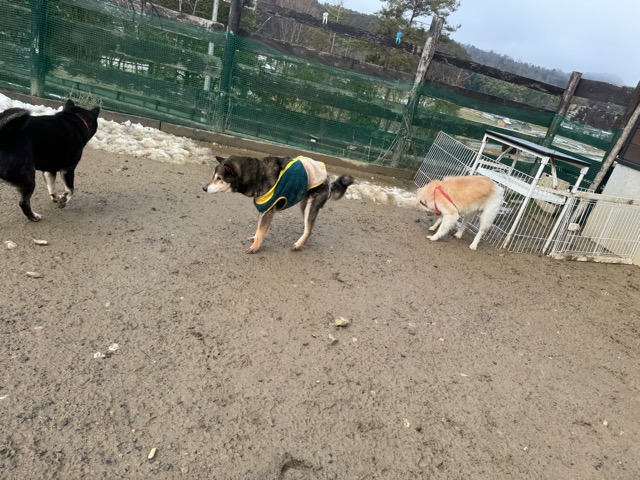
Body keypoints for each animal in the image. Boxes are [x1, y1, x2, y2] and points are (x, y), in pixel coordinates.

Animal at [203, 154, 354, 253]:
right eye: (213, 176)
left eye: (219, 178)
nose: (204, 188)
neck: (257, 174)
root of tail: (328, 179)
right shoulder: (263, 209)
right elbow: (259, 228)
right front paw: (255, 238)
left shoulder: (269, 211)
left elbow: (261, 230)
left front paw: (255, 247)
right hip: (303, 204)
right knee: (309, 228)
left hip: (311, 205)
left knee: (309, 229)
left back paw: (298, 244)